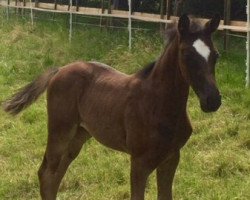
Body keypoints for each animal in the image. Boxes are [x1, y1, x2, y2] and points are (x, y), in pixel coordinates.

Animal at [2, 14, 220, 200]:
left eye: (216, 55)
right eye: (186, 54)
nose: (213, 101)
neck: (160, 105)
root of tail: (60, 69)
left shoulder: (171, 157)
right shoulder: (139, 162)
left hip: (78, 136)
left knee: (56, 175)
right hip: (60, 131)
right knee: (46, 172)